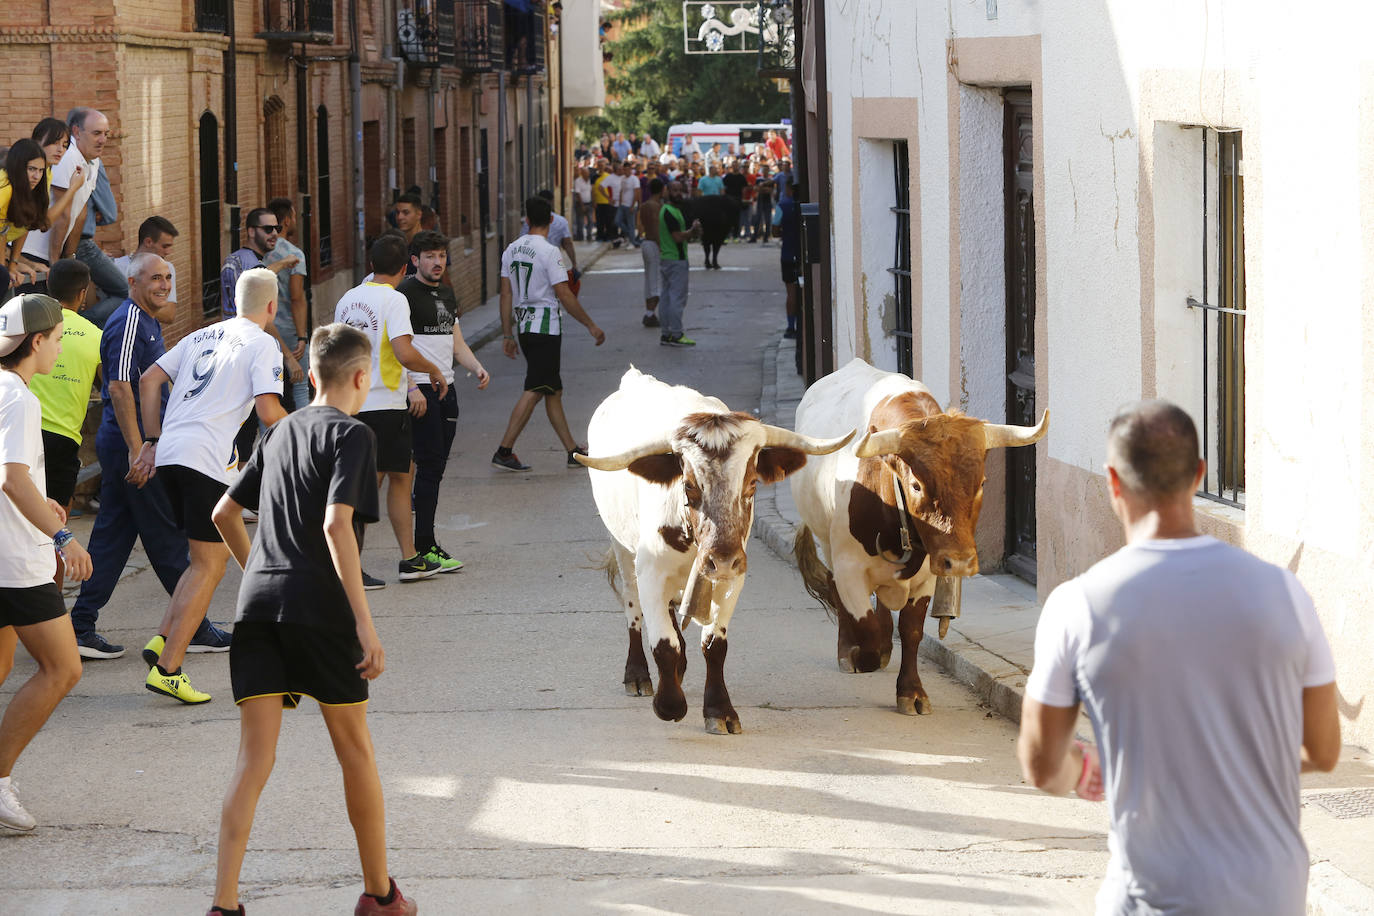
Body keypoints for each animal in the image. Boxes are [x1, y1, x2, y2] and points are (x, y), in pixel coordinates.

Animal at [574, 368, 851, 736]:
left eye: (752, 484)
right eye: (689, 486)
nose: (720, 559)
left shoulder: (732, 575)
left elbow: (713, 645)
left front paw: (719, 710)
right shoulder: (651, 572)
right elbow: (663, 642)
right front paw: (669, 704)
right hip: (621, 546)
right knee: (632, 607)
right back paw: (637, 675)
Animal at [791, 357, 1044, 714]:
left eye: (981, 483)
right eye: (916, 485)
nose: (961, 562)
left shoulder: (928, 574)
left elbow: (911, 629)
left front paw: (911, 692)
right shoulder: (849, 567)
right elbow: (864, 621)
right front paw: (866, 653)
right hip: (825, 540)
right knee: (837, 592)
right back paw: (849, 651)